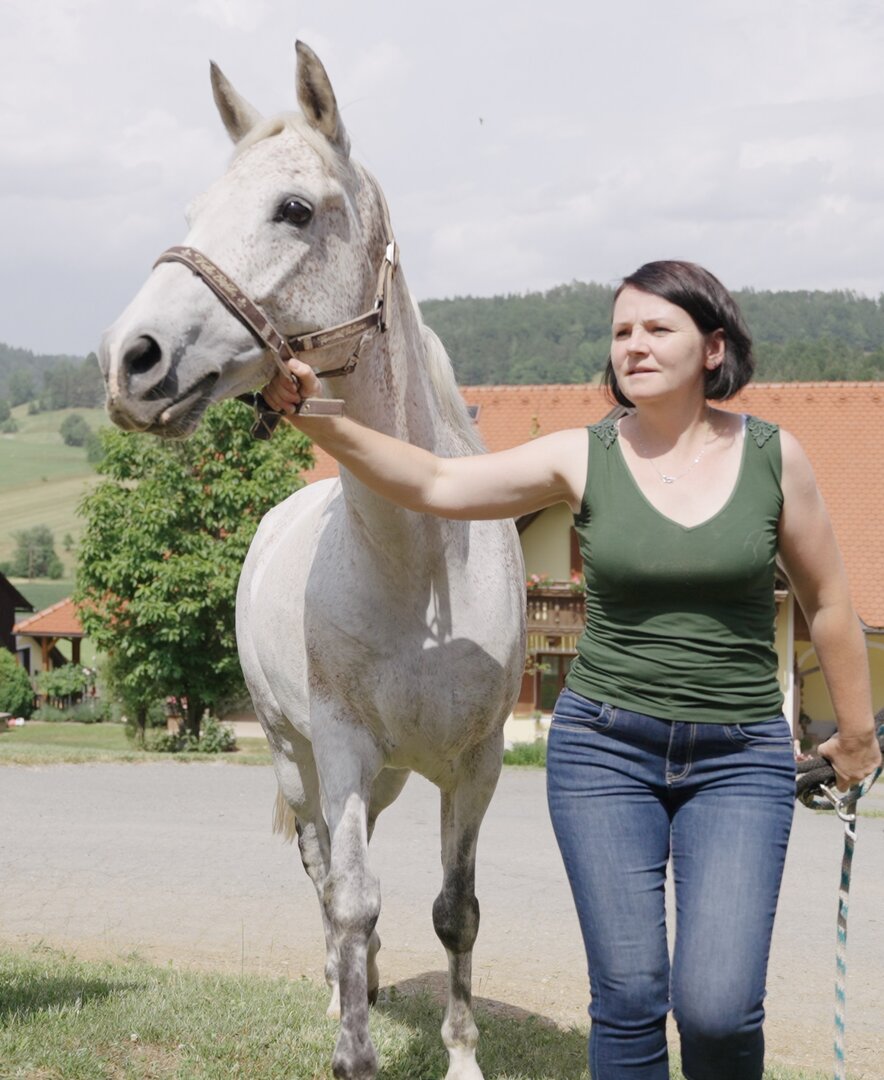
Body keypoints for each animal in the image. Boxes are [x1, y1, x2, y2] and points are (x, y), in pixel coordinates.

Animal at [96, 42, 524, 1080]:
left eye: (294, 208)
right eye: (193, 212)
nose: (131, 361)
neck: (421, 566)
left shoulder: (476, 764)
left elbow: (457, 912)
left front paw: (460, 1055)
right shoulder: (339, 748)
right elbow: (352, 901)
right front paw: (352, 1046)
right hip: (301, 765)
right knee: (327, 879)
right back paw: (339, 994)